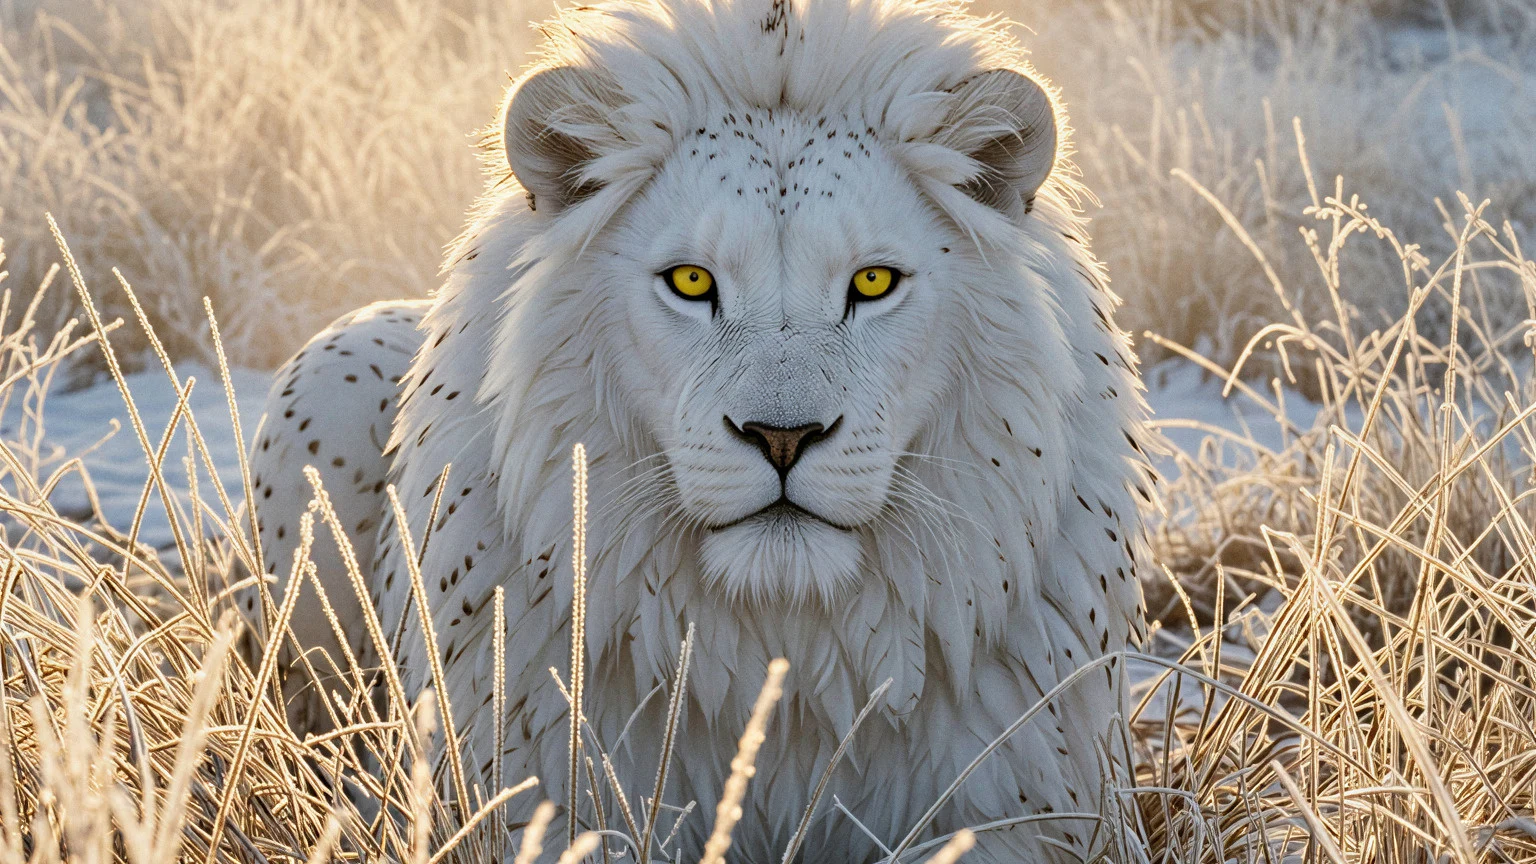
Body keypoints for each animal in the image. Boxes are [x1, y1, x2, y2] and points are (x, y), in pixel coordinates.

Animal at [244, 0, 1154, 860]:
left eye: (872, 282)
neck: (785, 658)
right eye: (691, 282)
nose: (782, 437)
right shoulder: (534, 805)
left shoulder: (1032, 813)